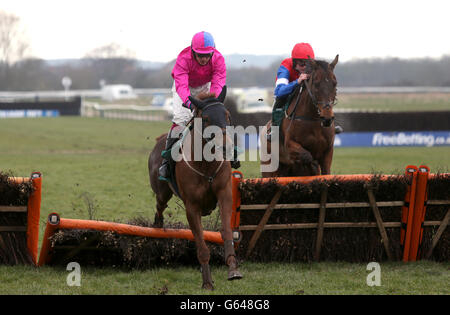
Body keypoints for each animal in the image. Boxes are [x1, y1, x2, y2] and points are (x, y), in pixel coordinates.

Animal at [149, 87, 243, 292]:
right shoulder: (192, 207)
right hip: (162, 193)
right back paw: (157, 225)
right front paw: (207, 282)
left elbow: (226, 231)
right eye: (206, 118)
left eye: (228, 115)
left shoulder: (225, 194)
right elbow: (201, 245)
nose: (226, 147)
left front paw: (233, 268)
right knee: (159, 206)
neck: (205, 164)